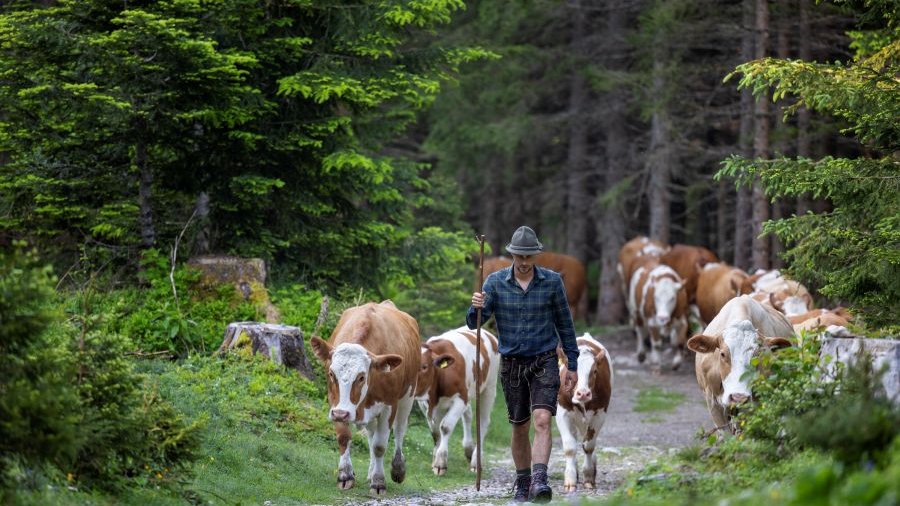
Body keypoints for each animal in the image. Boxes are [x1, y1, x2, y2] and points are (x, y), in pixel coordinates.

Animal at [309, 300, 420, 495]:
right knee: (371, 434)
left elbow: (380, 445)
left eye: (361, 377)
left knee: (399, 430)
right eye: (331, 373)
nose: (341, 414)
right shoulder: (335, 403)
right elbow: (344, 437)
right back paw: (370, 471)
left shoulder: (389, 405)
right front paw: (345, 476)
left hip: (408, 395)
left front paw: (378, 482)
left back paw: (397, 468)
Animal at [415, 326, 499, 476]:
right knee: (468, 415)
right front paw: (435, 458)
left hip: (490, 388)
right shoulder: (425, 403)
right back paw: (468, 449)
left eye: (424, 366)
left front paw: (440, 463)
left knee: (483, 422)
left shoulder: (460, 399)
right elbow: (435, 431)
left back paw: (476, 462)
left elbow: (445, 426)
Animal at [555, 333, 613, 493]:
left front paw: (588, 476)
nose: (583, 394)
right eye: (569, 372)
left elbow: (588, 445)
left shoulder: (600, 414)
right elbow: (570, 447)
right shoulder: (562, 412)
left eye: (594, 371)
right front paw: (570, 480)